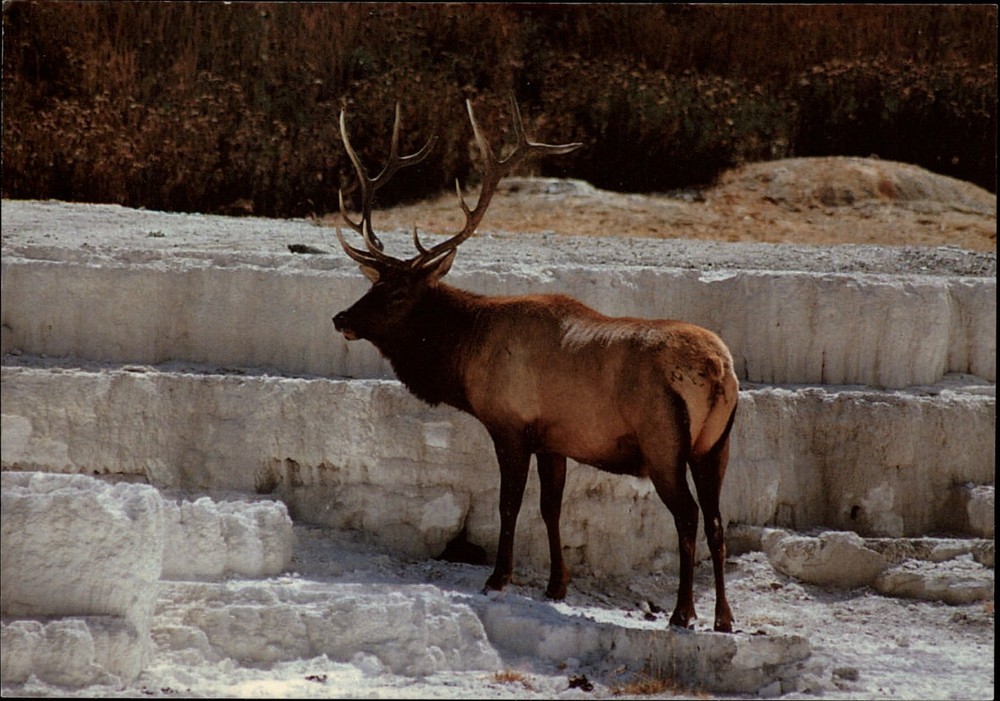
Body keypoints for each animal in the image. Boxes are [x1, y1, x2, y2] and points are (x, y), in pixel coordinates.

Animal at [331, 97, 739, 632]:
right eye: (373, 284)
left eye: (398, 293)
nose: (341, 318)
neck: (464, 357)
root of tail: (717, 369)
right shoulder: (555, 440)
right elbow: (550, 508)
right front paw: (555, 584)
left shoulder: (509, 425)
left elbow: (508, 506)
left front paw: (498, 578)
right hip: (716, 444)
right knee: (716, 520)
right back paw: (724, 618)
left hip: (664, 441)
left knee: (688, 516)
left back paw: (683, 612)